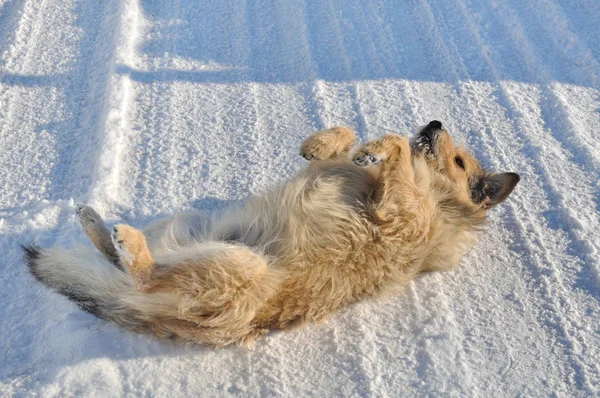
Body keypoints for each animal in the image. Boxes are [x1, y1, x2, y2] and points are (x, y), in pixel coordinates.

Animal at [22, 121, 520, 346]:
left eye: (459, 161)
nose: (434, 123)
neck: (437, 196)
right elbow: (342, 142)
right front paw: (335, 143)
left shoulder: (403, 216)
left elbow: (395, 144)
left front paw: (381, 146)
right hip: (194, 226)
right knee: (123, 265)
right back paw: (95, 224)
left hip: (240, 266)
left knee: (144, 274)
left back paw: (126, 242)